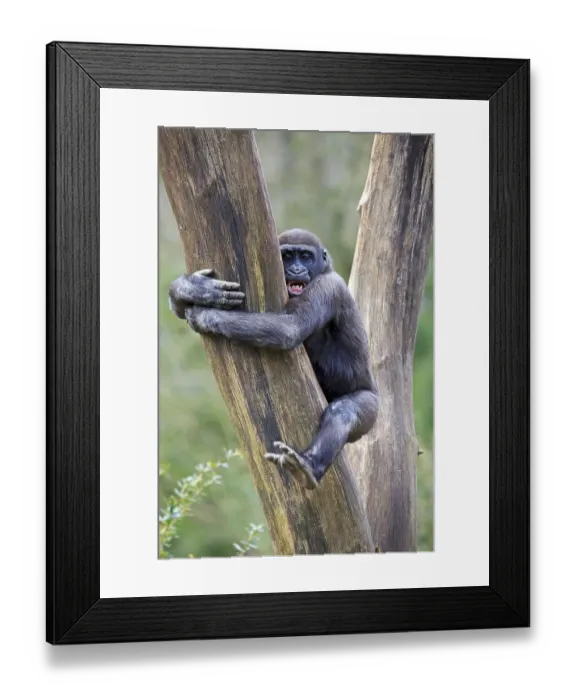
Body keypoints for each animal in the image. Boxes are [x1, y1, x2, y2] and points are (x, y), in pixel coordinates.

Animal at [168, 228, 379, 490]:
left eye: (305, 257)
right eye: (287, 256)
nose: (296, 269)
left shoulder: (328, 288)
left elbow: (290, 327)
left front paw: (207, 315)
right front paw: (190, 288)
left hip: (372, 408)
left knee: (345, 411)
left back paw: (308, 466)